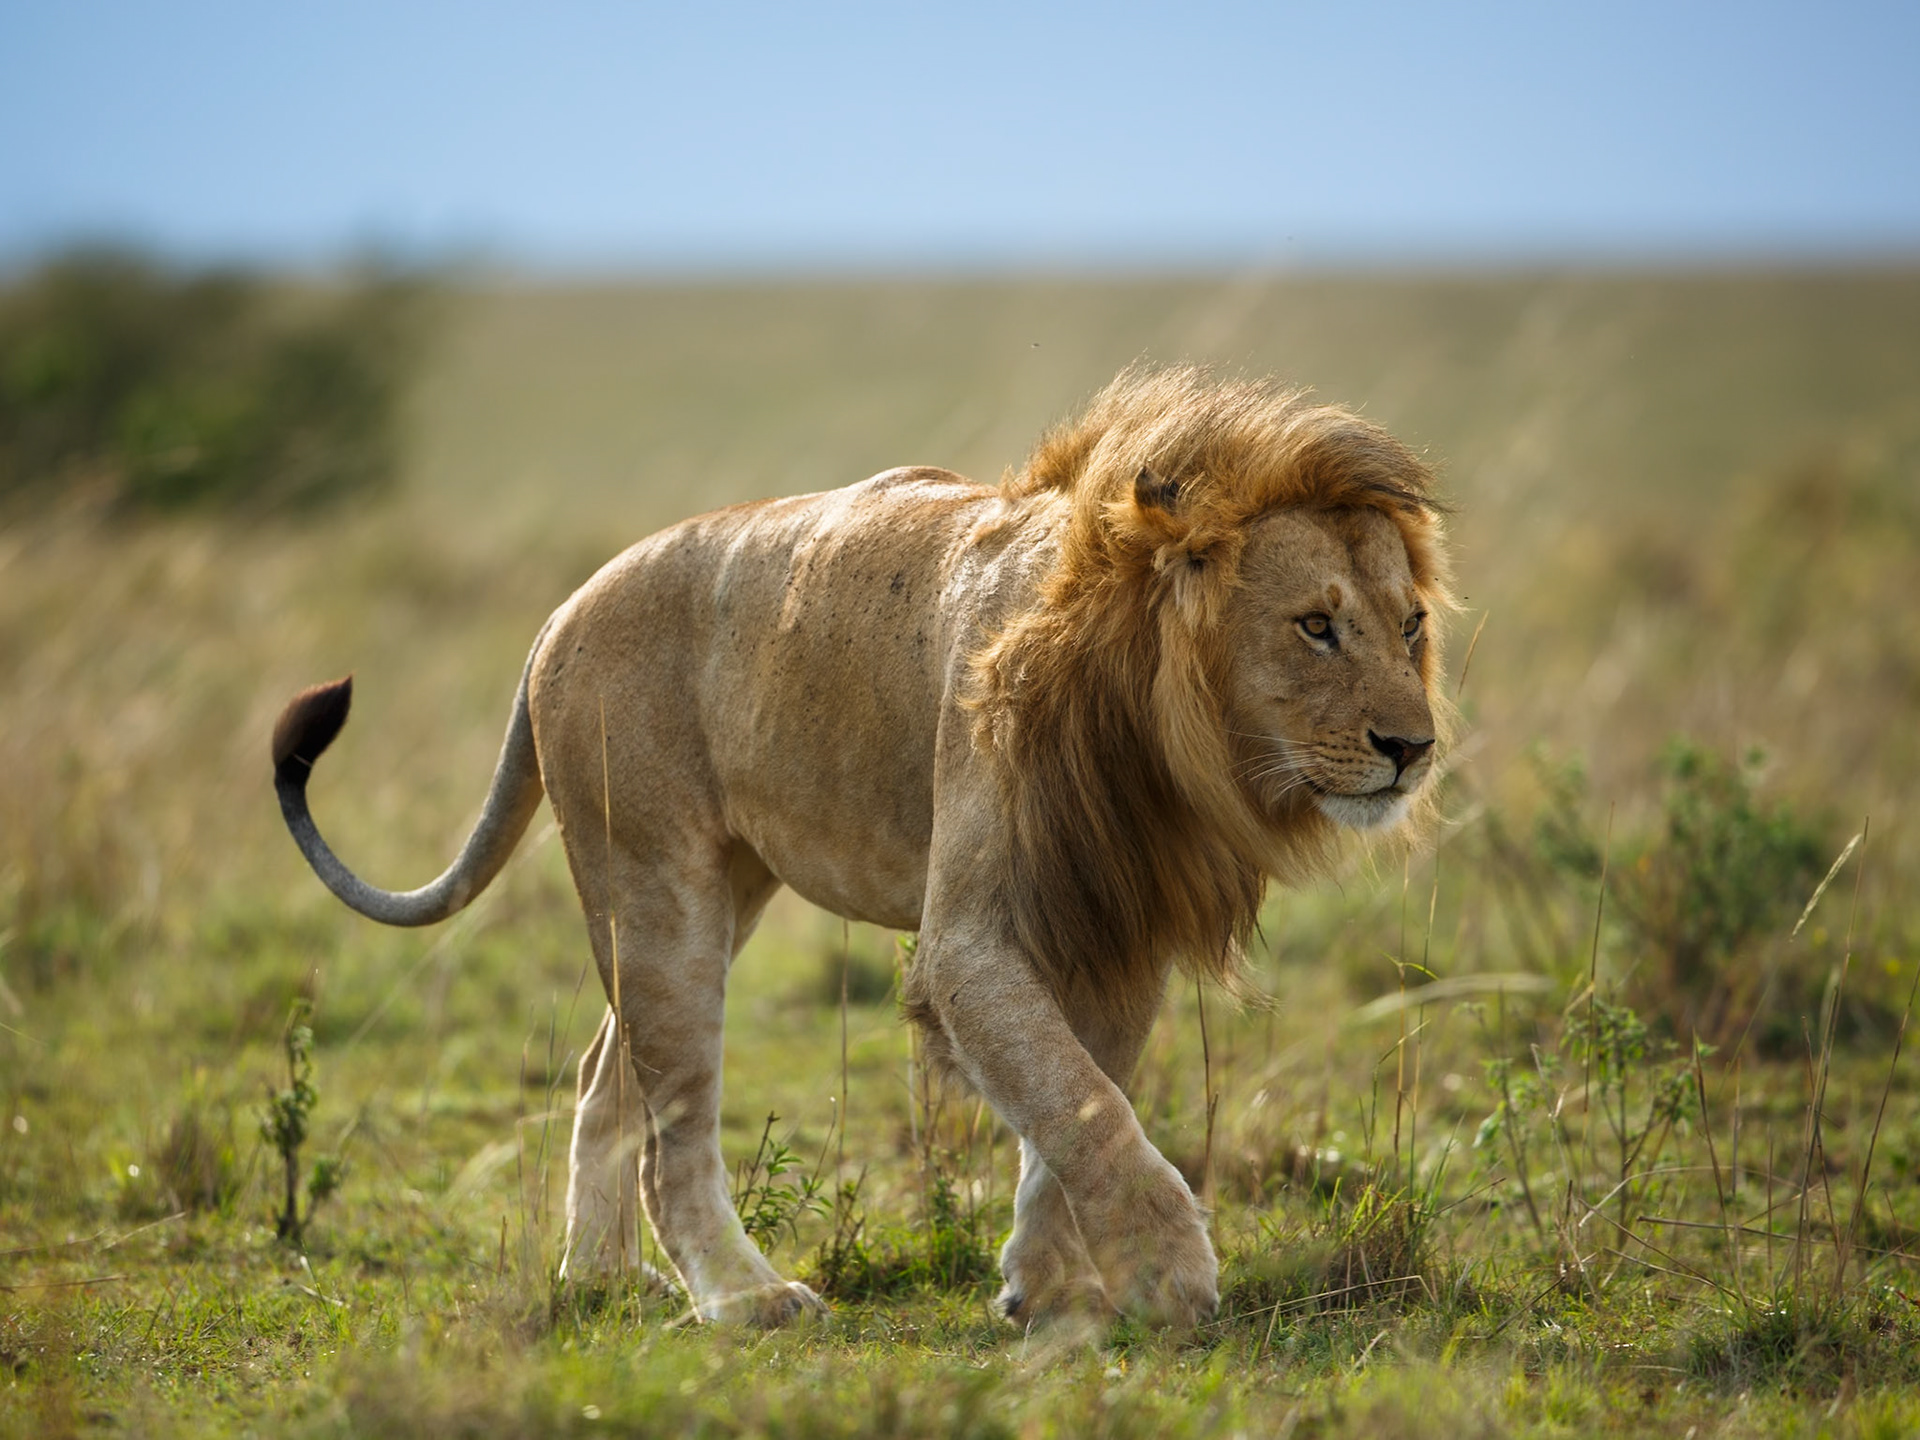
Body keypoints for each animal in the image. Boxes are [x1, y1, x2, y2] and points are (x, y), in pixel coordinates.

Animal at [272, 365, 1450, 1330]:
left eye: (1411, 627)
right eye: (1315, 625)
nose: (1414, 749)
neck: (1162, 731)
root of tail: (558, 613)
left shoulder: (1119, 928)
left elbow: (1072, 1103)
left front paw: (1047, 1283)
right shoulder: (970, 942)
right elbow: (1084, 1104)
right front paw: (1170, 1274)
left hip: (723, 883)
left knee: (608, 1074)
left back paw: (602, 1281)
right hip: (655, 883)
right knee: (673, 1123)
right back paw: (742, 1299)